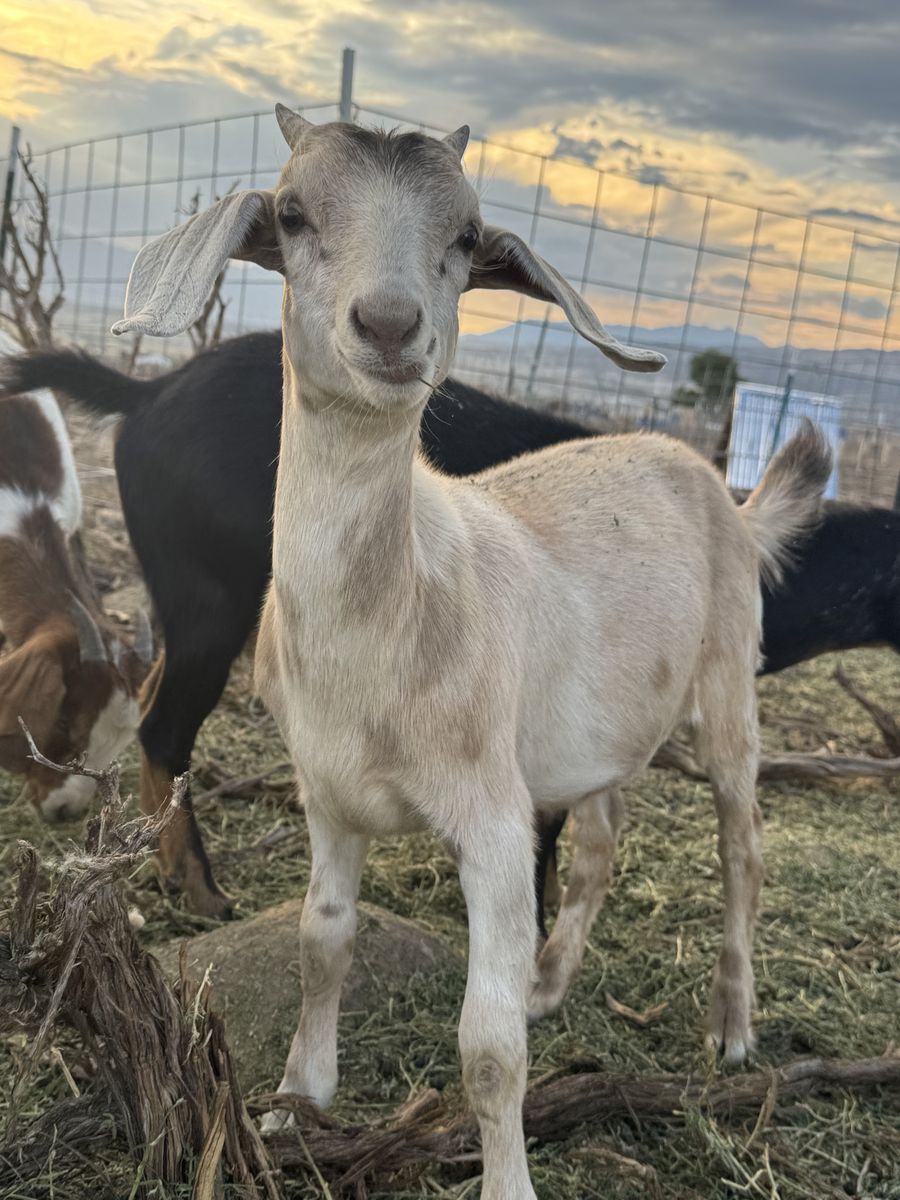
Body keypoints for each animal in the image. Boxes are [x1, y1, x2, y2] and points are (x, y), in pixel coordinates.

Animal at [112, 110, 831, 1198]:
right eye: (292, 213)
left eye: (466, 236)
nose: (390, 323)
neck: (391, 622)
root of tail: (710, 479)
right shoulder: (329, 797)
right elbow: (322, 943)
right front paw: (295, 1104)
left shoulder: (491, 819)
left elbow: (488, 1050)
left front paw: (506, 1179)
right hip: (592, 729)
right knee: (600, 844)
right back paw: (552, 979)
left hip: (728, 686)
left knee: (742, 846)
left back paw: (732, 1027)